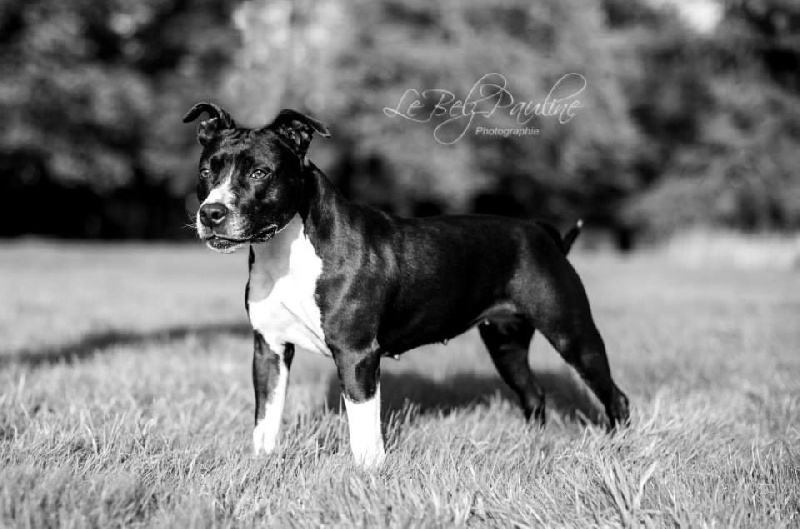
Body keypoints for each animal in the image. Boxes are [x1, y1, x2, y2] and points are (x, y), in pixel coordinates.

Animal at [183, 102, 630, 467]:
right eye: (206, 171)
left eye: (260, 172)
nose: (211, 213)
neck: (285, 250)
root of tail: (544, 235)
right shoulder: (270, 349)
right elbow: (267, 418)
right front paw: (262, 465)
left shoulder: (357, 354)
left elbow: (363, 427)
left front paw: (368, 475)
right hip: (505, 343)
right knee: (533, 393)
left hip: (572, 334)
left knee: (613, 395)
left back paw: (618, 448)